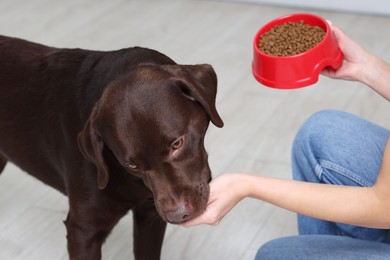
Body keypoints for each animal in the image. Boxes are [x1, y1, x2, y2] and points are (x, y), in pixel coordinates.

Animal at [0, 35, 224, 260]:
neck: (128, 181)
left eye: (177, 144)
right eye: (131, 165)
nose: (178, 214)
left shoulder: (149, 214)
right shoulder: (83, 232)